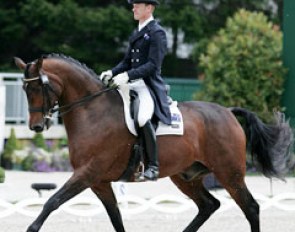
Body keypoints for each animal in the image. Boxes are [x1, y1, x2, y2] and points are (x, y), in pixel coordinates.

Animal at [15, 54, 294, 232]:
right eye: (24, 89)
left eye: (38, 87)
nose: (36, 127)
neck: (92, 111)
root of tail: (227, 111)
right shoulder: (99, 181)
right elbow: (116, 218)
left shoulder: (87, 173)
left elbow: (52, 202)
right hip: (186, 176)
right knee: (208, 205)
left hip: (229, 173)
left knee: (251, 208)